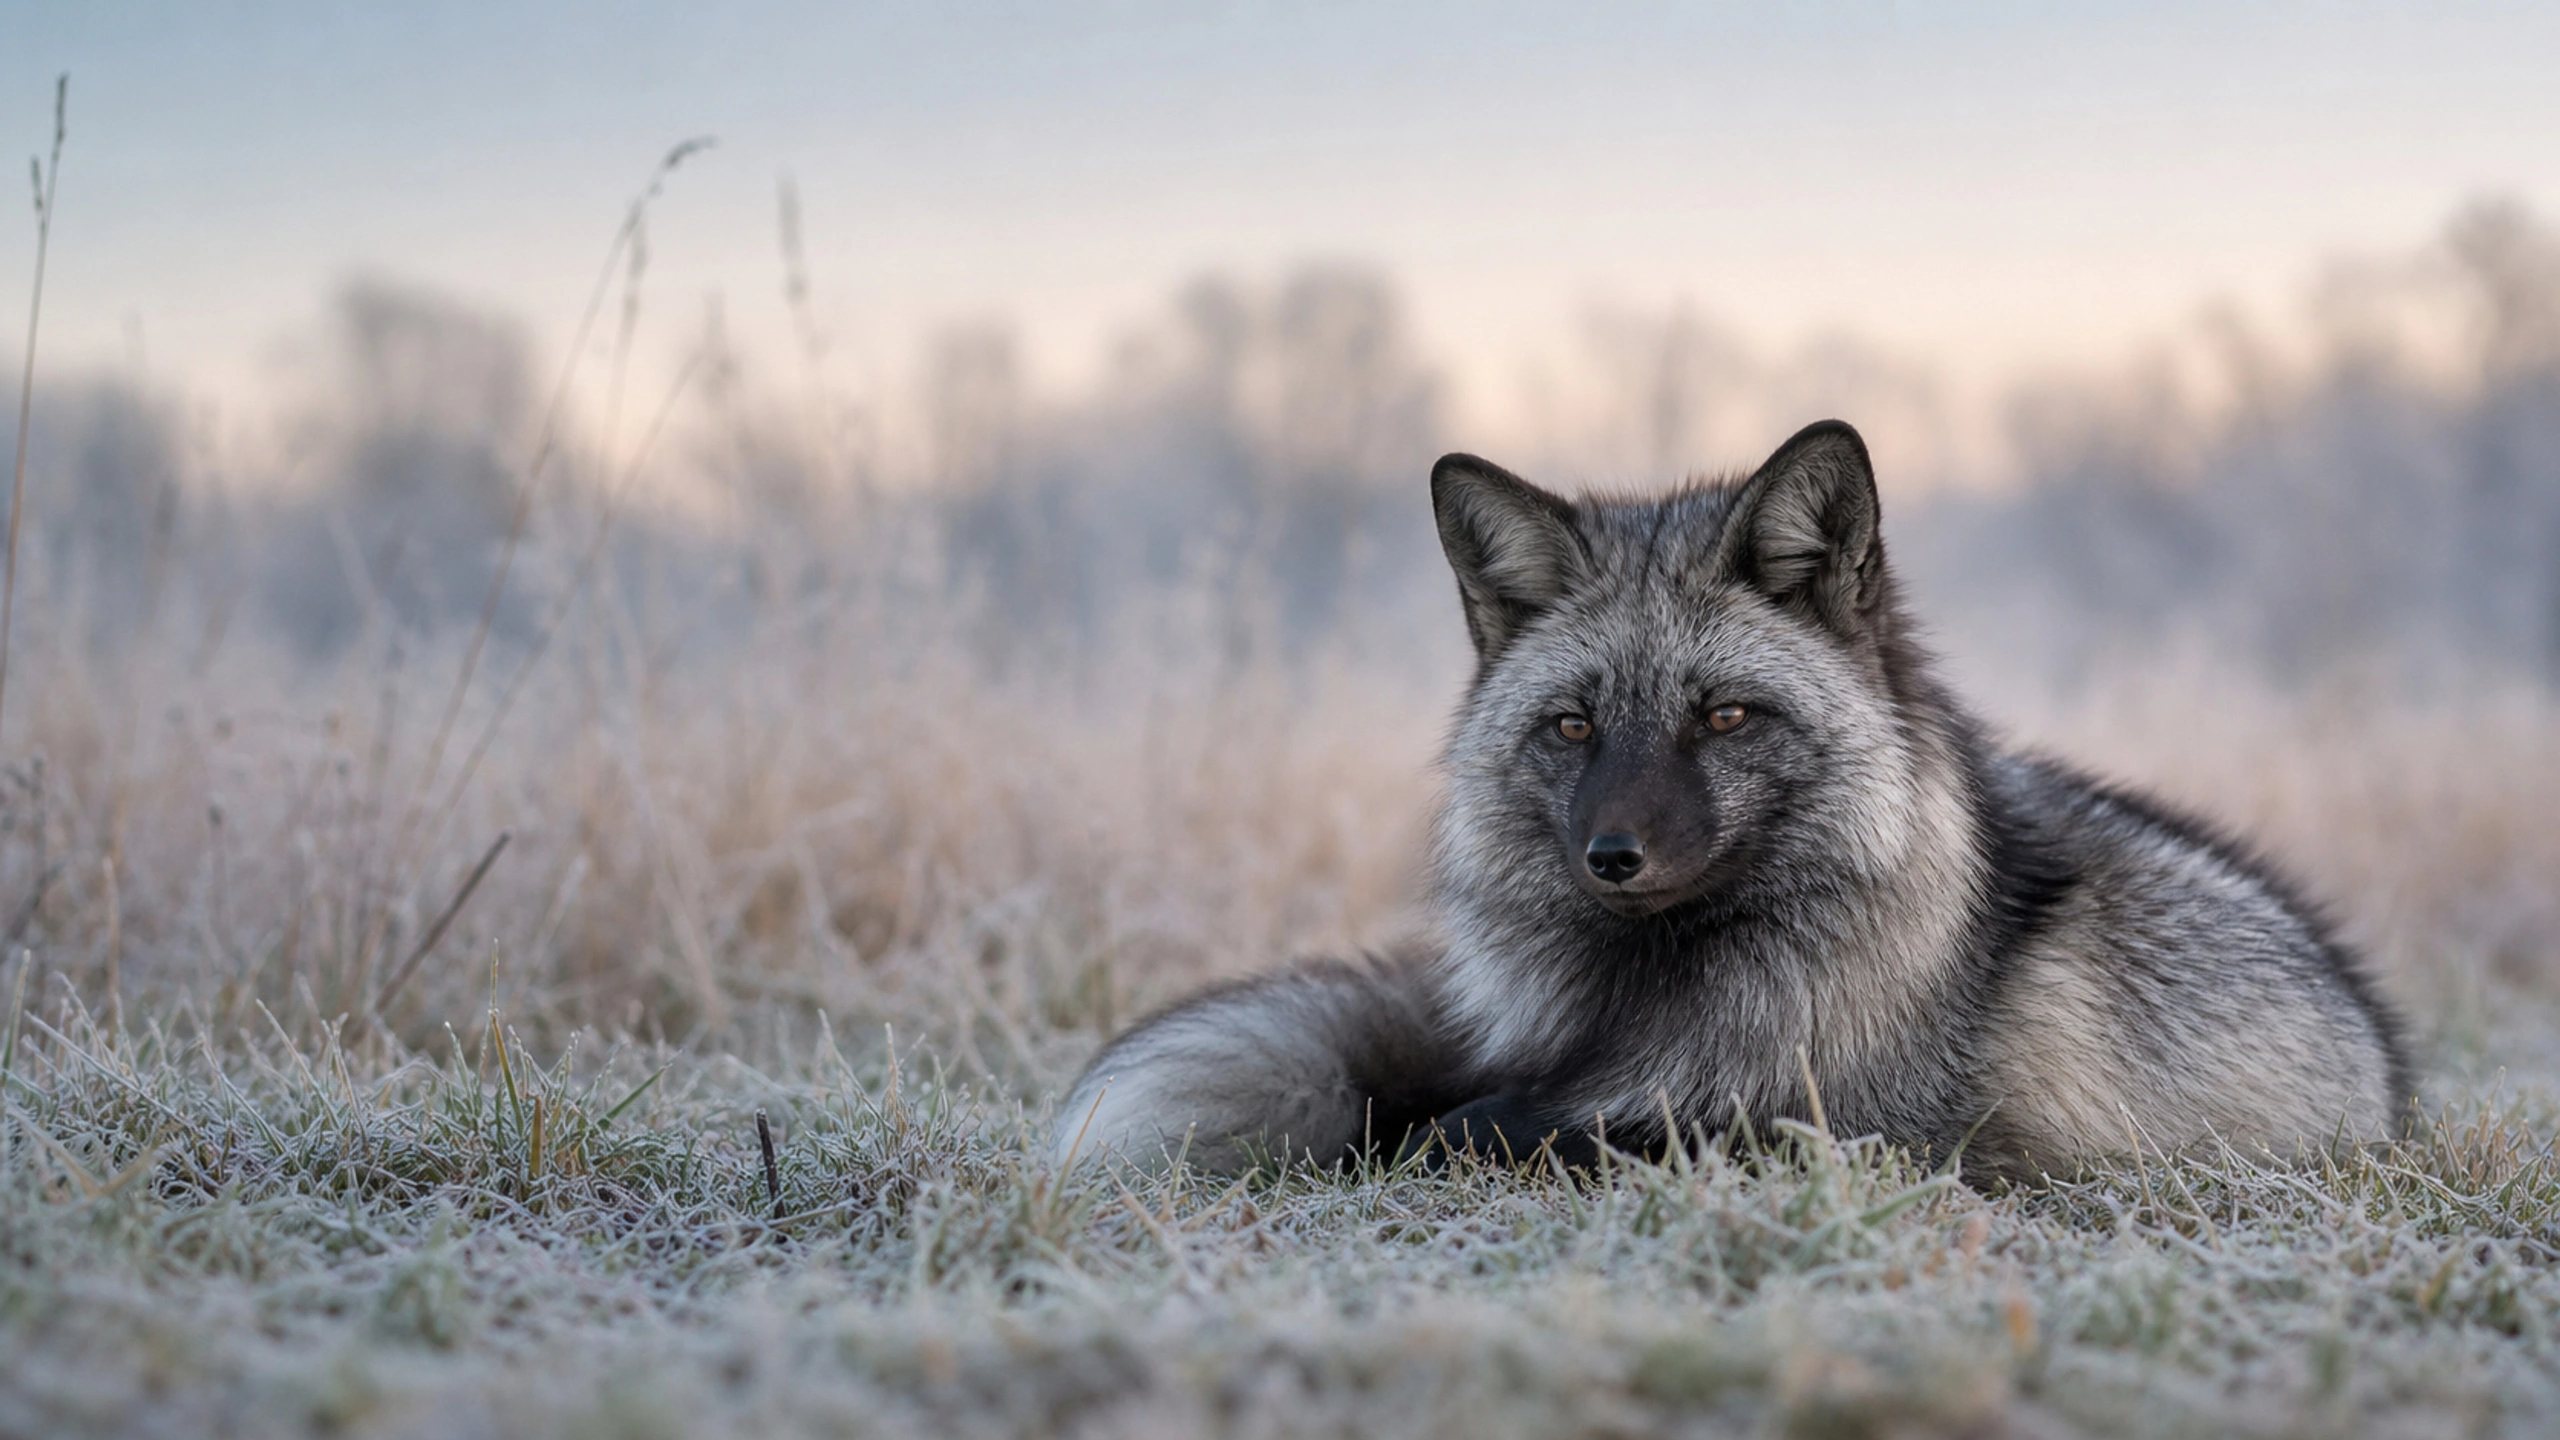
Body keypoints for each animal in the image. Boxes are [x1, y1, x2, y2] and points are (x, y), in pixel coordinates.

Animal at [1053, 420, 2412, 1182]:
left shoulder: (1862, 1138)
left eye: (1724, 718)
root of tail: (2390, 1067)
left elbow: (1488, 1129)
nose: (1612, 856)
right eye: (1572, 726)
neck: (1661, 1004)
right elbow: (1454, 1109)